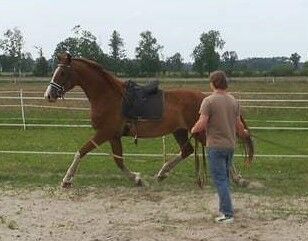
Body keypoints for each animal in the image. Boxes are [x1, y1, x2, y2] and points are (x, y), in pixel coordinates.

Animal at [45, 53, 253, 188]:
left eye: (62, 73)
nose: (49, 95)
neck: (108, 96)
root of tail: (205, 97)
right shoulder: (114, 136)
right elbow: (119, 161)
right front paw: (137, 179)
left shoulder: (105, 133)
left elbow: (81, 152)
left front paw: (67, 179)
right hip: (180, 131)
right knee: (187, 151)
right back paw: (162, 173)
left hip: (199, 131)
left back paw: (238, 178)